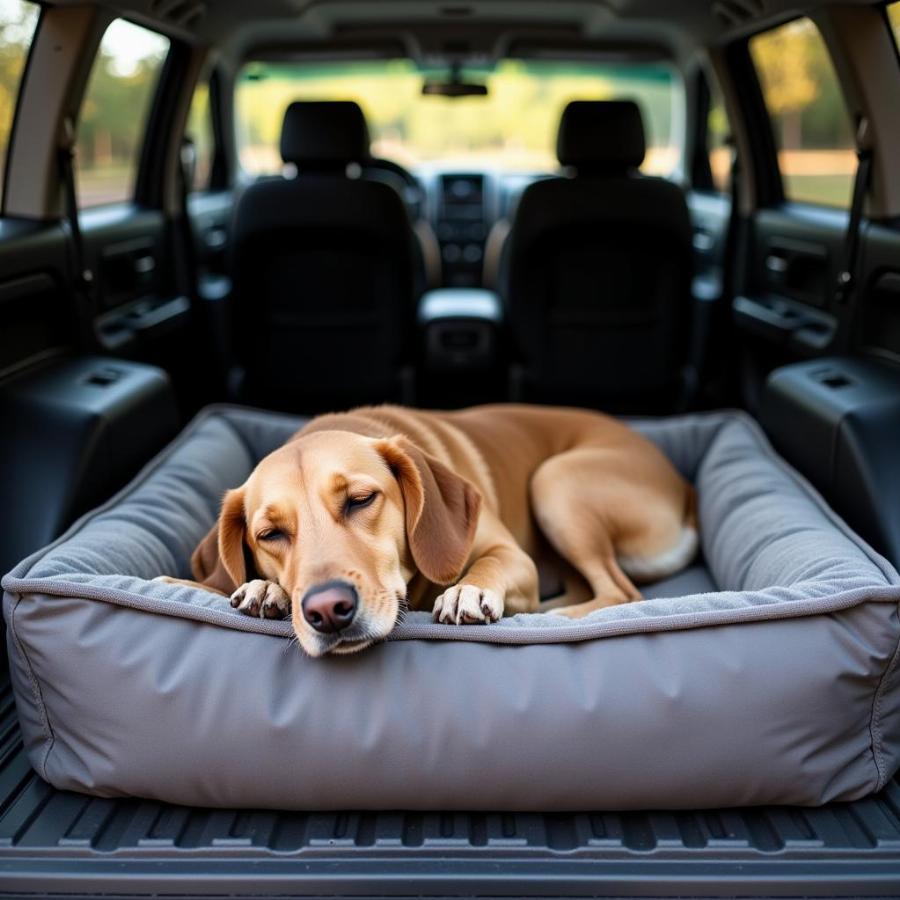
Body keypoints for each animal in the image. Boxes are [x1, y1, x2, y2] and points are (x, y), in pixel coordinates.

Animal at [165, 406, 700, 652]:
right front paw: (262, 588)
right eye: (270, 535)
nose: (328, 611)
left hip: (556, 479)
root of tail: (686, 489)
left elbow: (488, 565)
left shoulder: (513, 556)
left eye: (360, 500)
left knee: (618, 592)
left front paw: (468, 590)